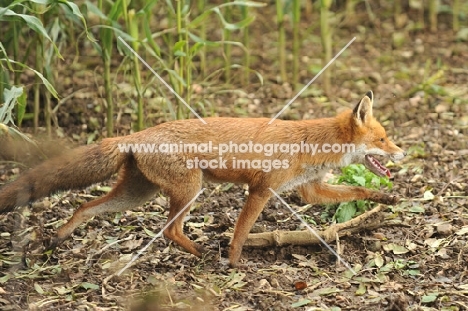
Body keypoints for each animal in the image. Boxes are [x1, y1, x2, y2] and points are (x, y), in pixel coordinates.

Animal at [0, 91, 404, 268]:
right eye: (384, 140)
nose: (403, 153)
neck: (310, 143)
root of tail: (136, 134)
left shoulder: (310, 190)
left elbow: (357, 189)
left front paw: (386, 199)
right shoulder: (261, 189)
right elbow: (241, 232)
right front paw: (236, 263)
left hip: (137, 194)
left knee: (85, 206)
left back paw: (59, 238)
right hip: (189, 190)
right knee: (169, 231)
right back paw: (202, 253)